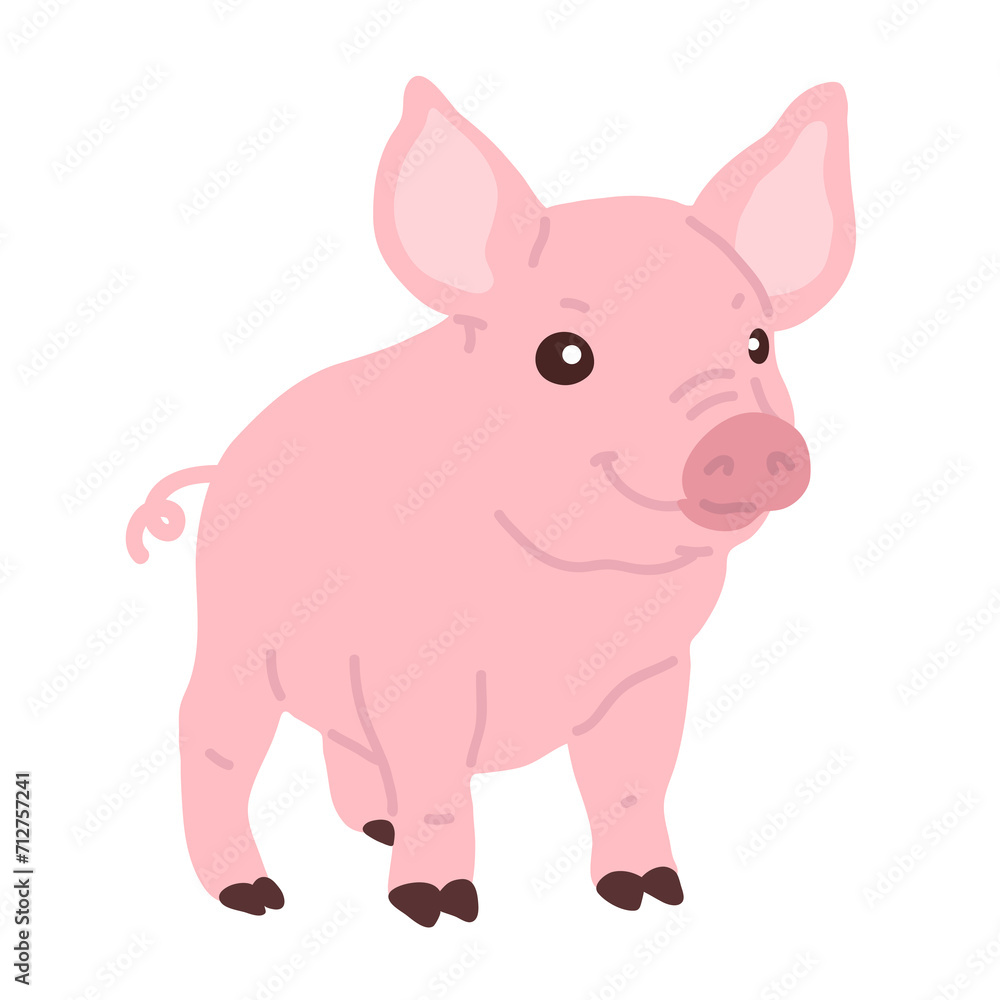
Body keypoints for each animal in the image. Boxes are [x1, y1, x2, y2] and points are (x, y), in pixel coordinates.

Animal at [127, 77, 854, 926]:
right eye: (564, 355)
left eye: (757, 343)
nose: (746, 435)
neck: (581, 588)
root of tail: (224, 464)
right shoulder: (413, 664)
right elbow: (440, 788)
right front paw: (436, 908)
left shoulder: (655, 669)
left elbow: (632, 783)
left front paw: (650, 896)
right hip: (232, 632)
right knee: (211, 737)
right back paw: (255, 897)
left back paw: (377, 828)